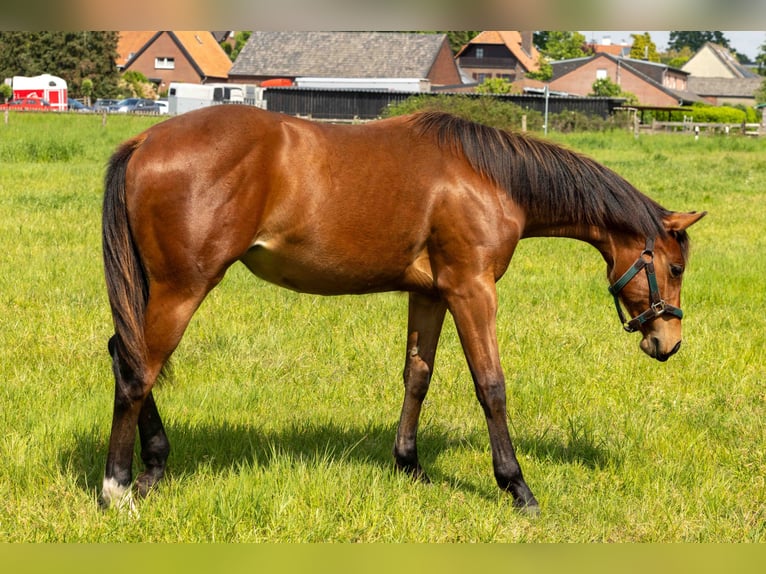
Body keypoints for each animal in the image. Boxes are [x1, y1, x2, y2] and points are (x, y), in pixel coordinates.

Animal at [100, 106, 705, 514]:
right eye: (675, 268)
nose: (667, 343)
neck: (488, 177)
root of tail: (146, 139)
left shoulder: (430, 294)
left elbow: (418, 375)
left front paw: (409, 464)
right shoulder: (471, 289)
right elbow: (491, 385)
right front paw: (517, 486)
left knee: (125, 355)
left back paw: (153, 467)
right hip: (183, 288)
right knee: (137, 371)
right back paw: (117, 487)